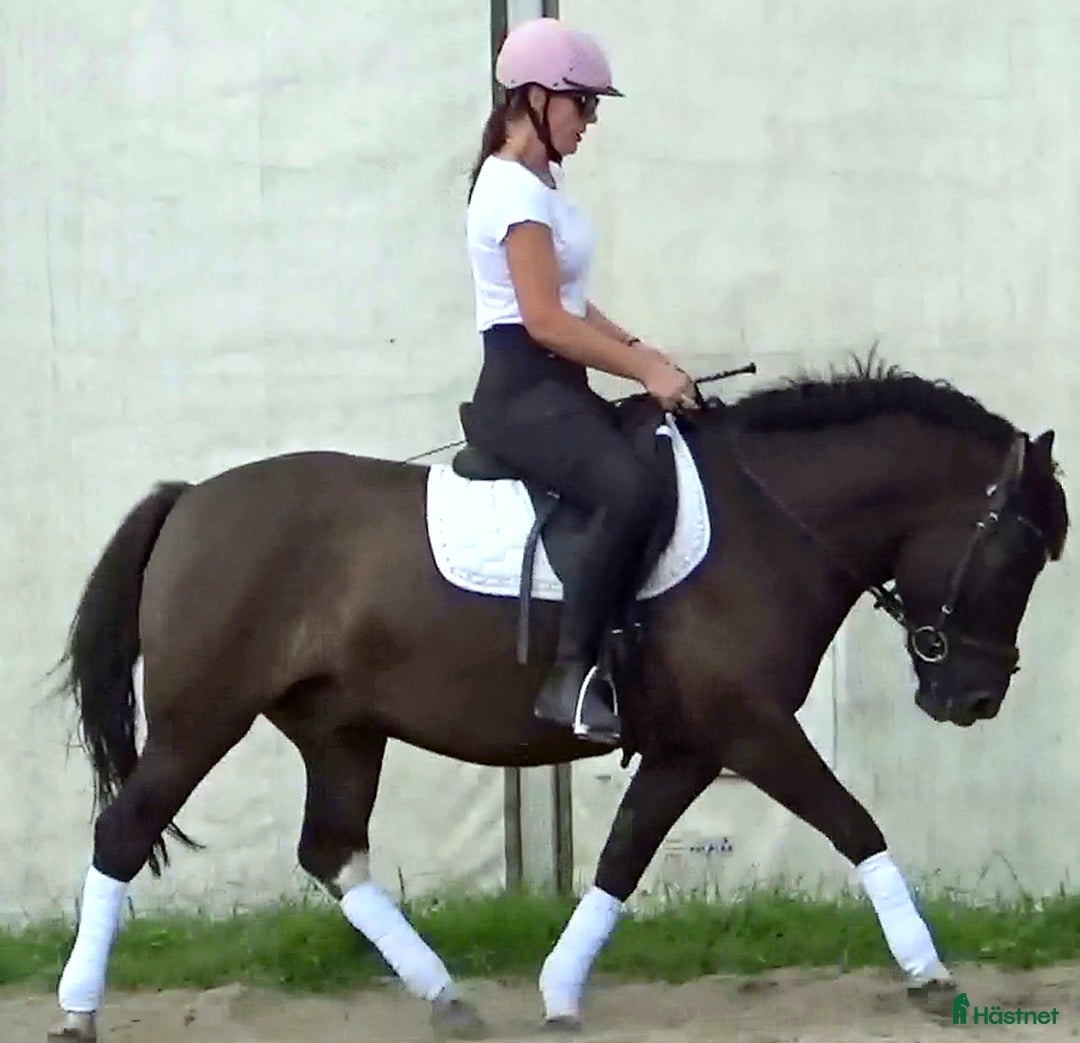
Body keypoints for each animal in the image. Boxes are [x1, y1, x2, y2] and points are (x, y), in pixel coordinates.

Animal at [47, 358, 1068, 1041]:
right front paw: (929, 972)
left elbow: (622, 856)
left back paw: (448, 997)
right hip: (201, 720)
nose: (974, 696)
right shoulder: (750, 729)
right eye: (1018, 553)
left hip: (341, 729)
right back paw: (77, 1010)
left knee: (331, 852)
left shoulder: (691, 746)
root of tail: (189, 499)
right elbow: (855, 824)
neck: (767, 521)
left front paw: (560, 988)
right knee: (122, 834)